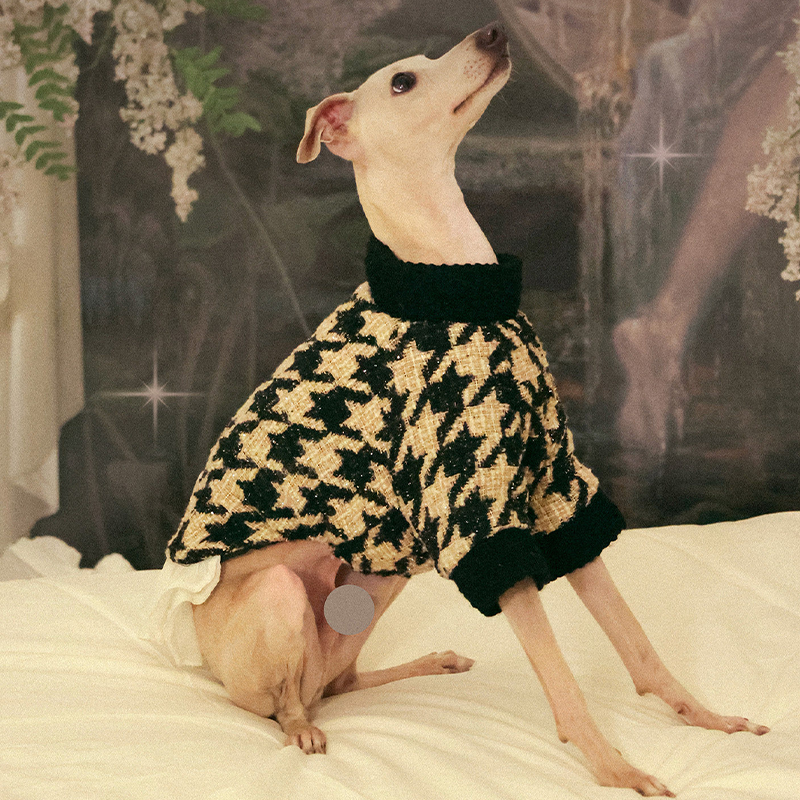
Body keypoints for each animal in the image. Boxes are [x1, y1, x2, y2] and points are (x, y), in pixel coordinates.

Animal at [177, 24, 768, 797]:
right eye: (402, 81)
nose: (493, 32)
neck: (452, 277)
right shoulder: (474, 508)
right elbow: (559, 675)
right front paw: (613, 766)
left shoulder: (551, 480)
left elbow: (632, 634)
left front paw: (702, 717)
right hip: (280, 593)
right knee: (289, 702)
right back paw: (303, 730)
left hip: (382, 573)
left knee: (335, 679)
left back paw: (427, 664)